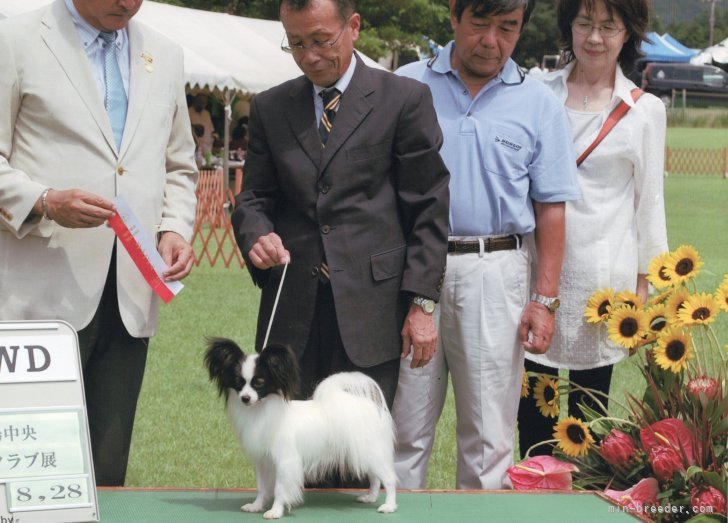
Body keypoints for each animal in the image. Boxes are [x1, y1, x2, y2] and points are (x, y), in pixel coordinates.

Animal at [205, 340, 398, 520]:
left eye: (259, 383)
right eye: (239, 382)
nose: (245, 398)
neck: (260, 411)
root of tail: (369, 405)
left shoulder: (285, 461)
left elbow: (280, 489)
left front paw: (275, 511)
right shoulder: (263, 461)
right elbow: (261, 487)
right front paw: (256, 506)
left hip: (371, 451)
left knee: (388, 478)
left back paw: (389, 506)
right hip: (362, 453)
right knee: (375, 478)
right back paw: (371, 497)